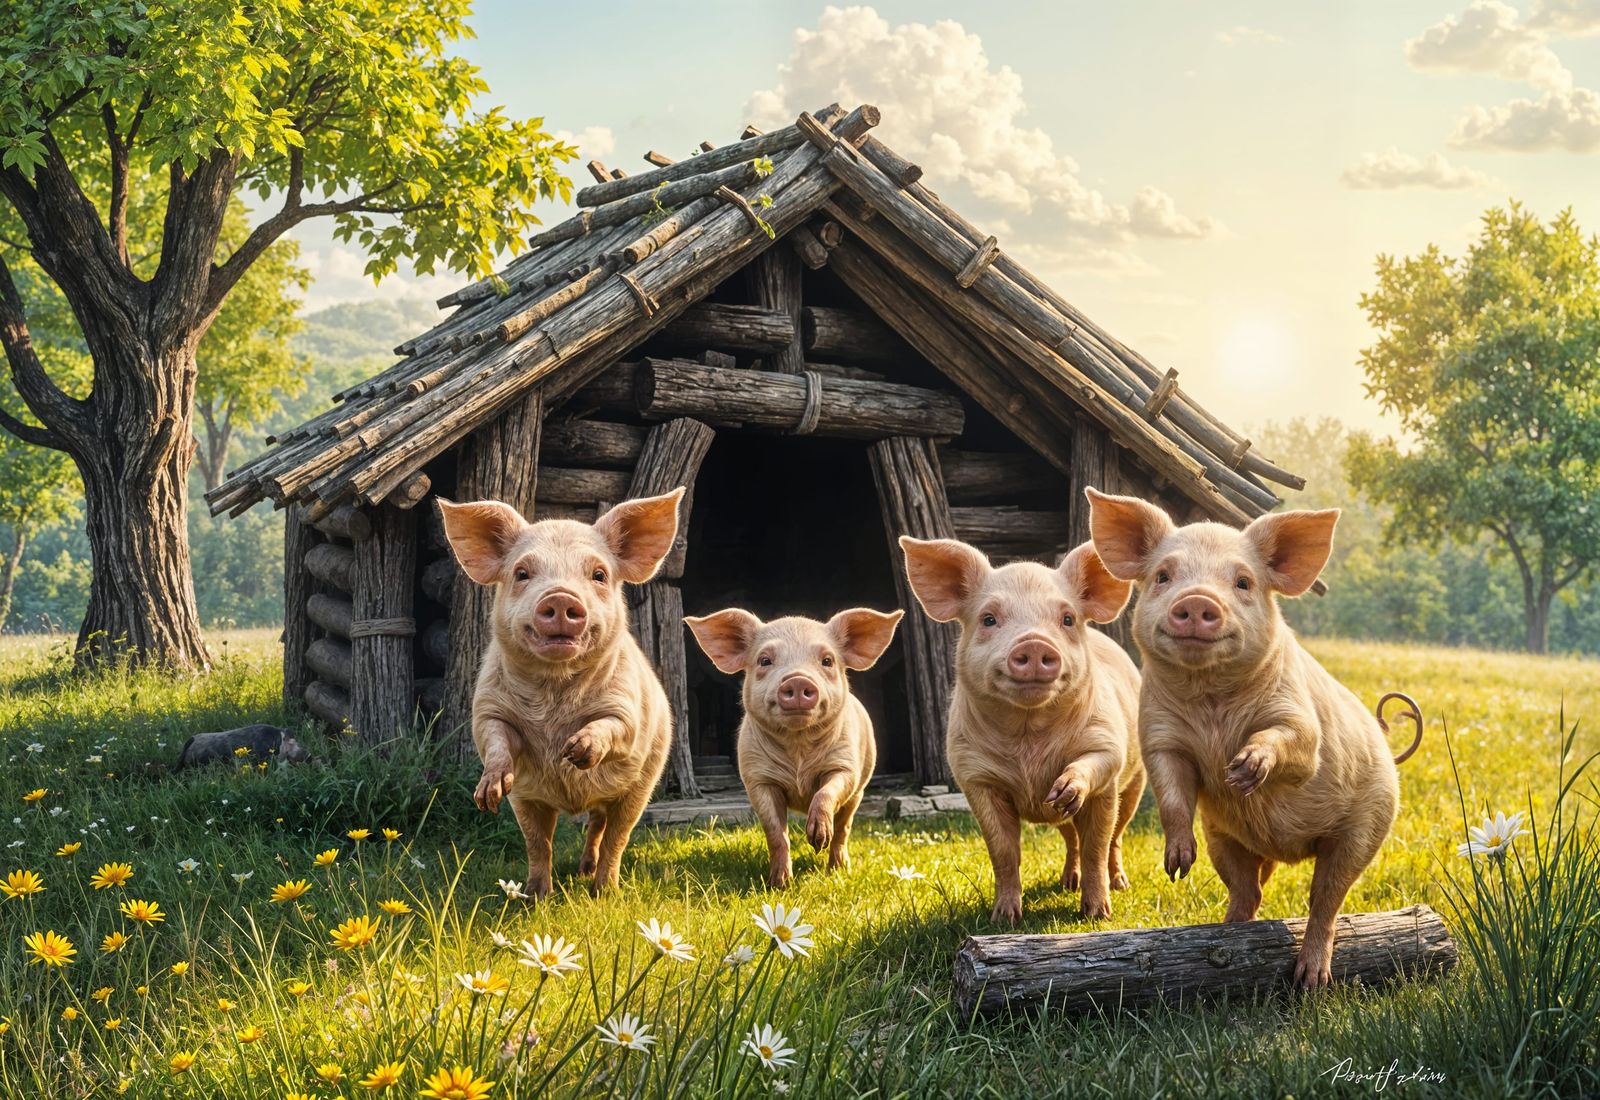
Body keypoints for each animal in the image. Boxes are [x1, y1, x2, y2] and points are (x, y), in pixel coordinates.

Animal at [437, 488, 685, 898]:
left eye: (598, 574)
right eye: (522, 573)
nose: (560, 597)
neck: (554, 691)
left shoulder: (628, 707)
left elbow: (614, 725)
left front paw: (576, 751)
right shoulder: (487, 708)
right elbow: (495, 738)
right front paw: (487, 797)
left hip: (640, 786)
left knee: (612, 833)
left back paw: (602, 889)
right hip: (529, 799)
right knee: (543, 838)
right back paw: (540, 891)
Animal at [685, 607, 902, 887]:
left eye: (827, 661)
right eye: (765, 660)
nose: (798, 680)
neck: (798, 749)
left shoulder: (845, 766)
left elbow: (826, 792)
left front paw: (818, 840)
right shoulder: (757, 779)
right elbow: (776, 832)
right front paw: (779, 884)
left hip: (860, 790)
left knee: (844, 827)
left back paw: (838, 869)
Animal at [898, 537, 1145, 924]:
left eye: (1067, 619)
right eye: (989, 619)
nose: (1034, 642)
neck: (1030, 739)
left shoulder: (1108, 748)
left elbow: (1097, 843)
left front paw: (1097, 916)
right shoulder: (973, 775)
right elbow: (1003, 851)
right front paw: (1003, 918)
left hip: (1134, 784)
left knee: (1114, 838)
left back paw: (1119, 884)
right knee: (1072, 839)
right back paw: (1067, 882)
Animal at [1085, 487, 1424, 990]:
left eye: (1243, 582)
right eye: (1164, 576)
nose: (1197, 599)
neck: (1212, 706)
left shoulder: (1299, 719)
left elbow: (1292, 740)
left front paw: (1243, 770)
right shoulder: (1160, 736)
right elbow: (1172, 793)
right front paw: (1176, 866)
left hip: (1367, 827)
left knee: (1327, 898)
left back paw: (1310, 979)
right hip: (1224, 836)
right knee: (1250, 889)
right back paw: (1227, 932)